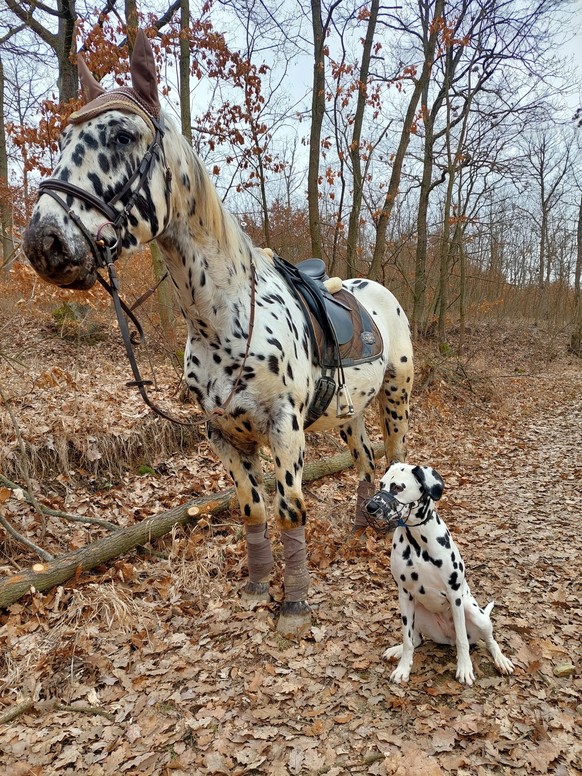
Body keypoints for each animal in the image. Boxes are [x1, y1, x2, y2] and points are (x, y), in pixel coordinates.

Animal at [24, 31, 416, 636]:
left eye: (122, 134)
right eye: (63, 137)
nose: (44, 242)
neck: (223, 319)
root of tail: (378, 292)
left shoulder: (285, 432)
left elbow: (289, 511)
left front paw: (294, 606)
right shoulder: (223, 436)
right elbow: (252, 507)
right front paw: (257, 587)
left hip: (395, 397)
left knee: (394, 456)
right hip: (350, 413)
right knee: (366, 460)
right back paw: (358, 525)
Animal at [370, 464, 516, 684]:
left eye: (397, 487)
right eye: (381, 484)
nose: (370, 507)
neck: (416, 540)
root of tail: (447, 638)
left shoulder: (455, 594)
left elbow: (463, 639)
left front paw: (465, 668)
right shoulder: (404, 594)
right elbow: (407, 639)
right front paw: (403, 667)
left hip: (474, 612)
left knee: (489, 640)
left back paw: (501, 659)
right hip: (417, 610)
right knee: (416, 639)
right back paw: (398, 650)